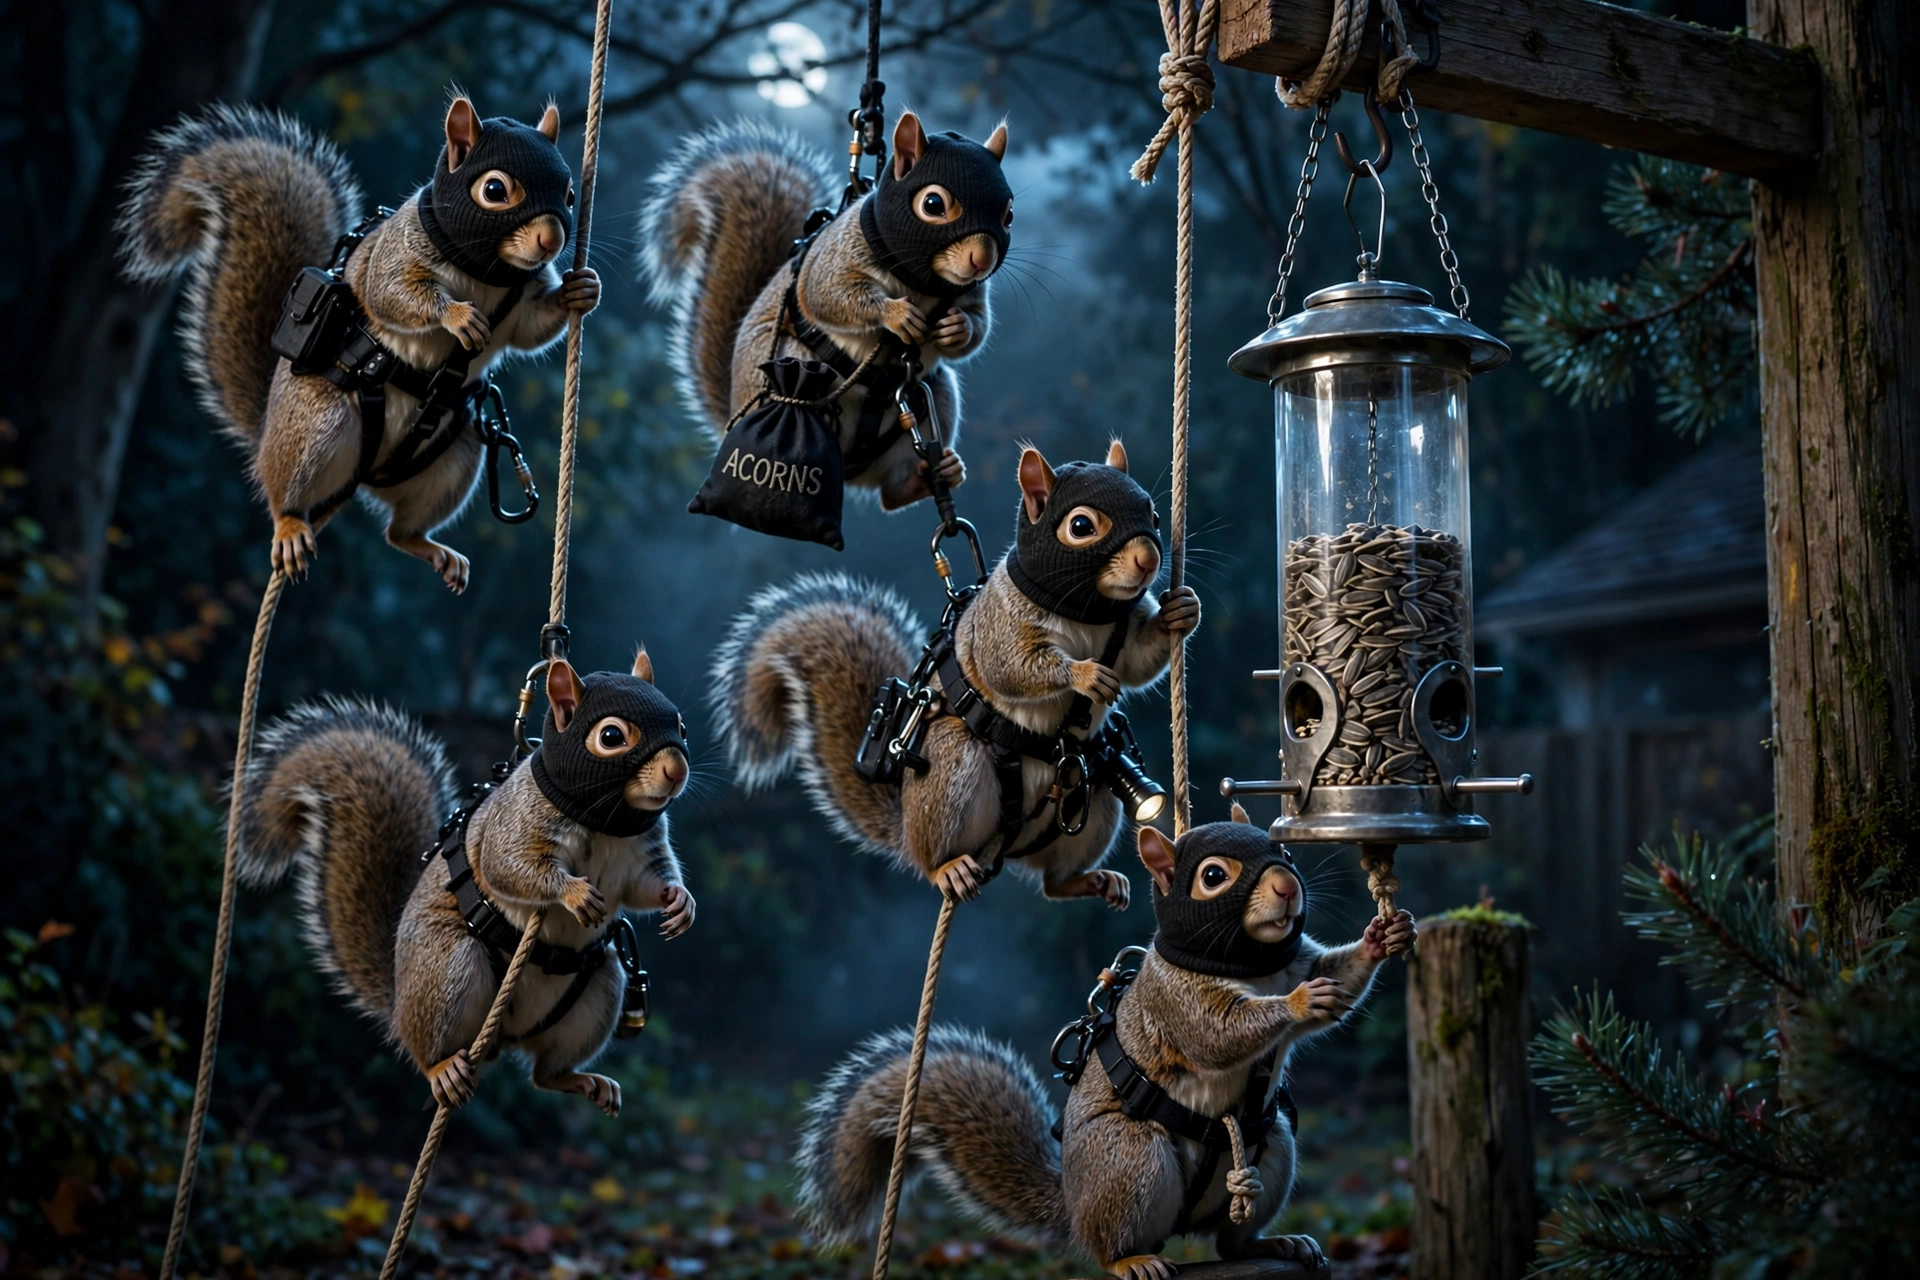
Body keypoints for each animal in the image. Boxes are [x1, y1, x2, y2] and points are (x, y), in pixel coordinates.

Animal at [118, 96, 600, 592]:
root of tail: (366, 478)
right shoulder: (394, 257)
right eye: (494, 189)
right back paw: (289, 525)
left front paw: (580, 290)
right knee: (283, 495)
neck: (484, 268)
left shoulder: (521, 298)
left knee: (398, 533)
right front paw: (458, 315)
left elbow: (530, 329)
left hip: (454, 461)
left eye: (569, 195)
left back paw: (434, 550)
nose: (551, 241)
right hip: (316, 427)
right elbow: (394, 294)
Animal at [235, 652, 695, 1116]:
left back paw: (584, 1081)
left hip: (598, 991)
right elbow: (507, 866)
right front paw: (575, 892)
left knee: (544, 1075)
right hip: (447, 969)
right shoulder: (514, 825)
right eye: (612, 735)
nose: (676, 771)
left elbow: (645, 886)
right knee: (431, 1051)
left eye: (681, 726)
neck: (603, 820)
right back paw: (442, 1069)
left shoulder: (642, 856)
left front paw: (680, 903)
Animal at [641, 110, 1012, 511]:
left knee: (892, 495)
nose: (981, 261)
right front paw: (897, 315)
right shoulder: (837, 257)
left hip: (934, 397)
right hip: (792, 362)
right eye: (932, 204)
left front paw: (956, 327)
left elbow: (978, 325)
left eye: (1008, 215)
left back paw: (929, 476)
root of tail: (852, 473)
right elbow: (828, 295)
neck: (917, 279)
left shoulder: (970, 293)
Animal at [711, 441, 1200, 905]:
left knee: (1054, 883)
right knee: (939, 855)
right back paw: (947, 869)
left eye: (1154, 515)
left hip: (1093, 792)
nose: (1148, 562)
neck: (1085, 610)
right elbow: (1014, 668)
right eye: (1081, 526)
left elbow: (1139, 660)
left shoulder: (1125, 629)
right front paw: (1084, 675)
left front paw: (1180, 611)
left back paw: (1092, 880)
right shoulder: (1001, 626)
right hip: (950, 769)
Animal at [795, 812, 1418, 1279]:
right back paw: (1131, 1261)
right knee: (1111, 1244)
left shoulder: (1298, 957)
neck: (1250, 965)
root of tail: (1073, 1206)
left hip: (1274, 1148)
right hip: (1129, 1160)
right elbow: (1217, 1034)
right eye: (1214, 875)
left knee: (1229, 1243)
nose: (1288, 888)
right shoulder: (1175, 1002)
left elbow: (1337, 973)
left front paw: (1383, 936)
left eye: (1283, 853)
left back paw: (1274, 1243)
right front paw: (1298, 1004)